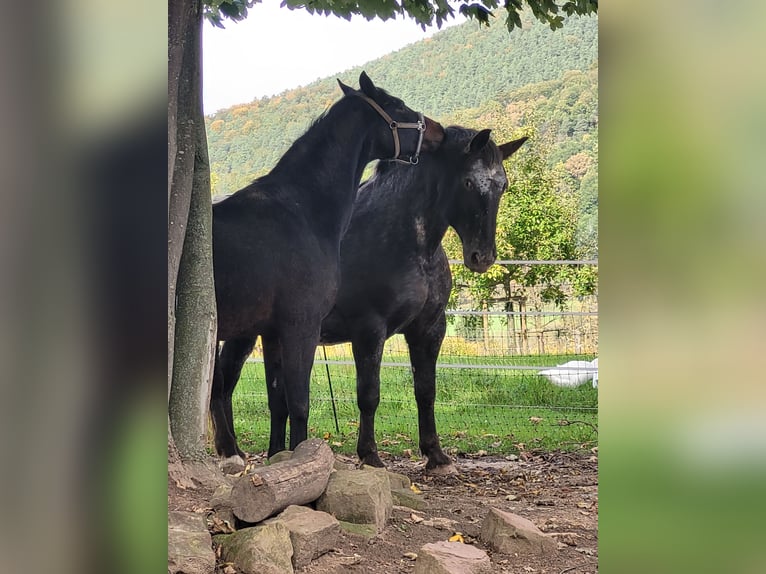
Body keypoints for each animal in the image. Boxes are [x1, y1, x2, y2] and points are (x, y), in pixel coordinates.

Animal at [213, 73, 448, 468]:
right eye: (397, 105)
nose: (438, 131)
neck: (301, 210)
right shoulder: (302, 327)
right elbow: (299, 403)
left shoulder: (272, 334)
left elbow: (279, 402)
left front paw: (278, 456)